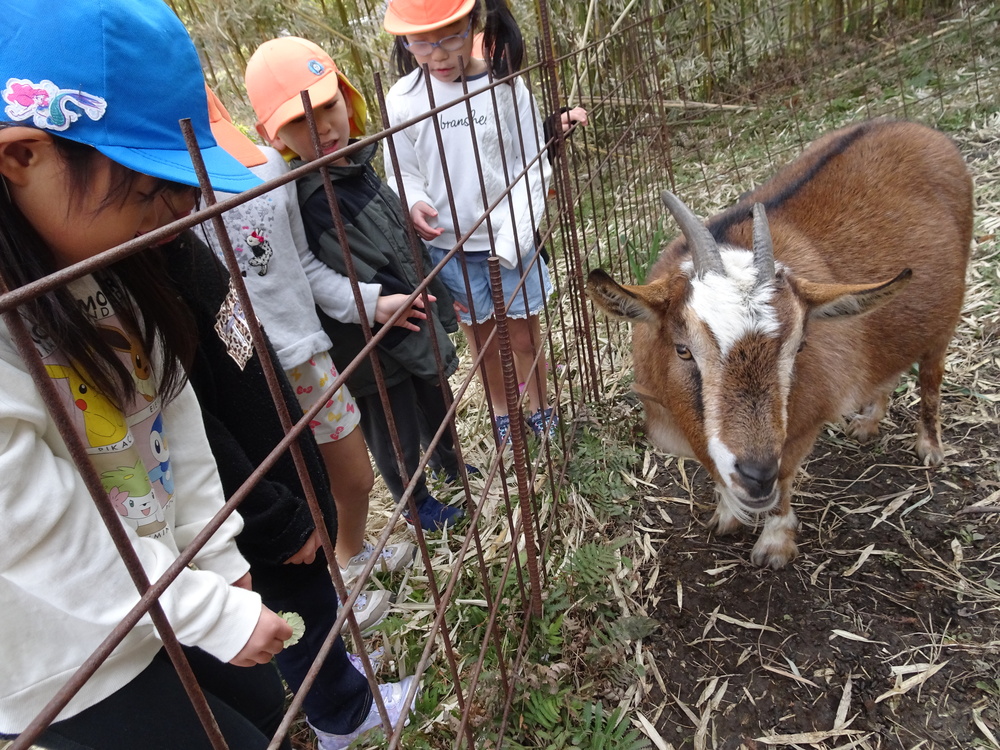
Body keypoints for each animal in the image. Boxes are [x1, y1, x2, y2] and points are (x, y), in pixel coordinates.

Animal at [584, 120, 968, 568]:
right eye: (683, 349)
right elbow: (718, 474)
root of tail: (912, 125)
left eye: (799, 347)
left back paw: (930, 447)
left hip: (947, 316)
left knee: (931, 376)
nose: (756, 475)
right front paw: (728, 516)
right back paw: (867, 423)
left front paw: (775, 543)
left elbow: (784, 480)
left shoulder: (801, 426)